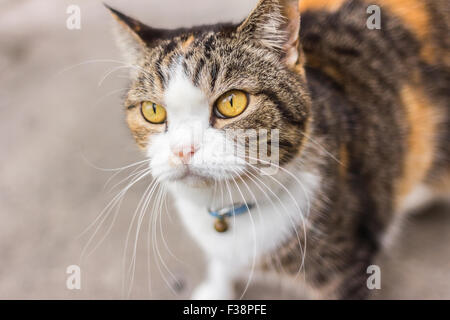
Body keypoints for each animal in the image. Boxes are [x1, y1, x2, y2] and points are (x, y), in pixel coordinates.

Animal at [106, 0, 450, 300]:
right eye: (152, 111)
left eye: (232, 103)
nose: (182, 150)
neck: (231, 208)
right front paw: (216, 287)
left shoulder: (347, 268)